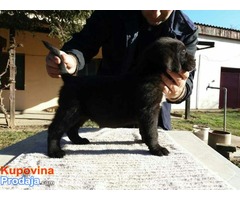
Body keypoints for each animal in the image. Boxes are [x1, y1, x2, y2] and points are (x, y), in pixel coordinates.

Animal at [46, 37, 195, 158]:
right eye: (183, 52)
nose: (195, 61)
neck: (150, 72)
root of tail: (70, 78)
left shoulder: (146, 113)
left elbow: (145, 129)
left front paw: (145, 141)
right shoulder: (149, 110)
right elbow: (152, 131)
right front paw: (157, 149)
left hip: (81, 113)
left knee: (71, 130)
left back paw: (79, 140)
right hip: (69, 111)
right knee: (54, 129)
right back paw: (54, 151)